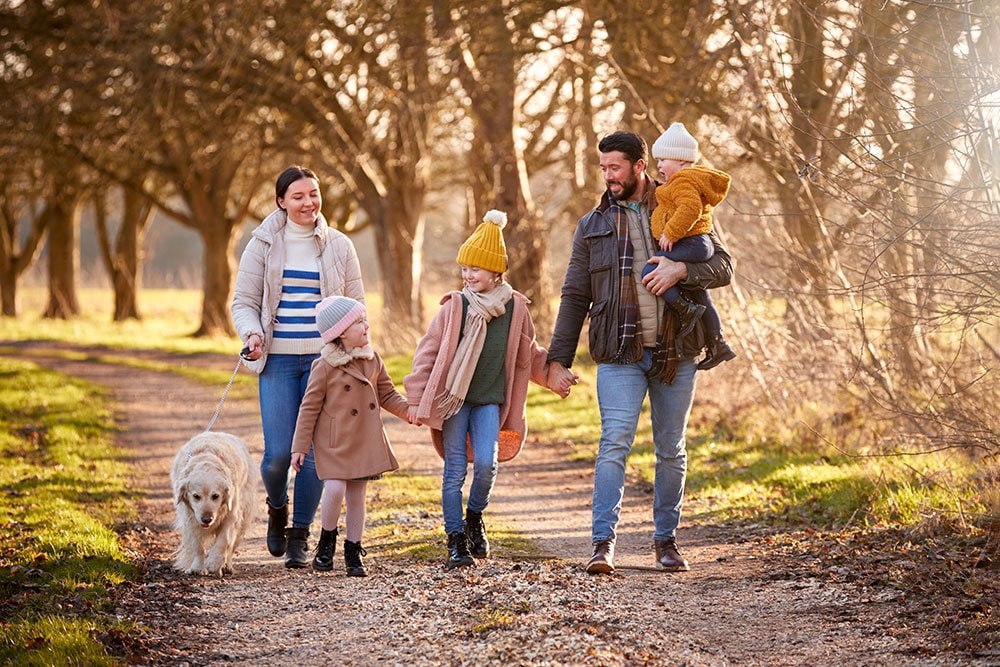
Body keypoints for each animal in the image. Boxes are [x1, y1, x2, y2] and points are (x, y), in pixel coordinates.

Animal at [168, 430, 256, 576]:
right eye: (196, 496)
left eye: (215, 496)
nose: (207, 519)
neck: (206, 460)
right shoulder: (190, 519)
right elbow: (197, 546)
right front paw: (198, 567)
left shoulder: (231, 515)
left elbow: (223, 541)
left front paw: (214, 563)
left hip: (244, 517)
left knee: (232, 546)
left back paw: (227, 566)